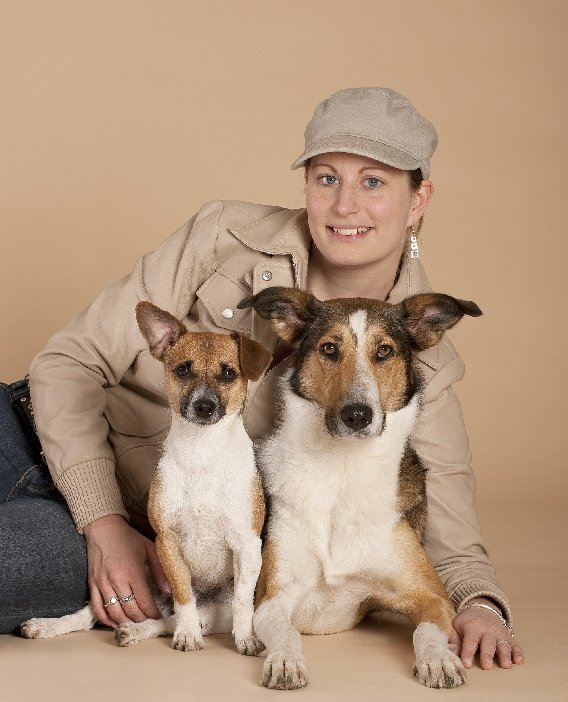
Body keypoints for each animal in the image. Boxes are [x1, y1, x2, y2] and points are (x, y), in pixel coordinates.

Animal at [21, 304, 272, 660]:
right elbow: (183, 596)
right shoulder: (167, 543)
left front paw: (245, 637)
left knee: (166, 621)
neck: (202, 454)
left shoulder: (247, 546)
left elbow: (241, 602)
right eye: (182, 370)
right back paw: (47, 626)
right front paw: (187, 635)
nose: (204, 406)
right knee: (98, 615)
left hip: (214, 611)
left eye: (228, 374)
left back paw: (135, 630)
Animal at [237, 288, 482, 692]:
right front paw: (285, 660)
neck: (343, 469)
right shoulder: (271, 597)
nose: (357, 415)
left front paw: (439, 659)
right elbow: (285, 630)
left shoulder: (433, 596)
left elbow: (427, 630)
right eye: (329, 348)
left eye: (384, 351)